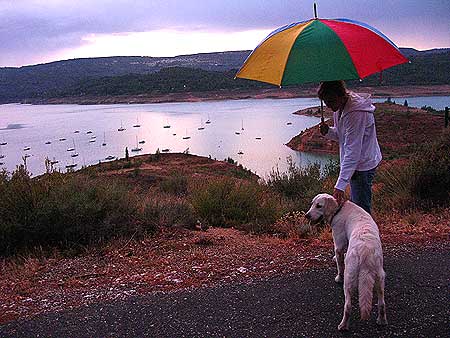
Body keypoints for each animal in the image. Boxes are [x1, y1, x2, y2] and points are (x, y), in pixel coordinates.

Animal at [304, 194, 388, 328]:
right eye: (312, 204)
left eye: (319, 205)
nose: (307, 215)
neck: (339, 209)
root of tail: (365, 250)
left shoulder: (338, 245)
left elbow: (339, 265)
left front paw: (338, 277)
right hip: (380, 278)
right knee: (382, 303)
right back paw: (382, 320)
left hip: (349, 279)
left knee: (348, 306)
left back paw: (343, 325)